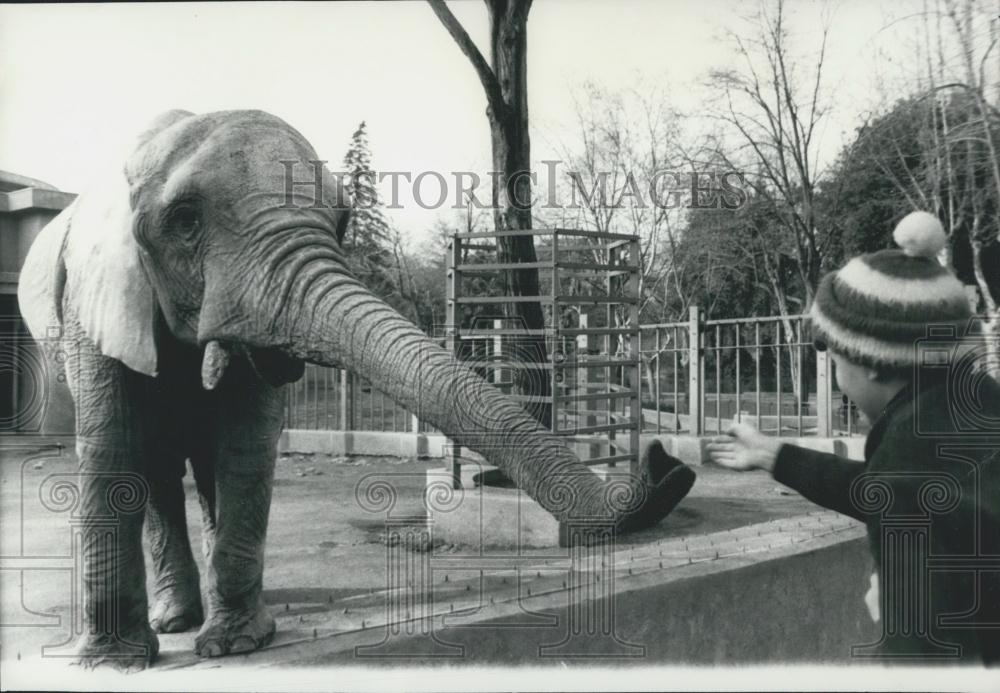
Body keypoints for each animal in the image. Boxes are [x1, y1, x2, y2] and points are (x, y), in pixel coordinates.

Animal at [15, 111, 696, 668]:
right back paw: (176, 621)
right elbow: (112, 449)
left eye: (342, 220)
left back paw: (210, 618)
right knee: (151, 464)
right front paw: (114, 665)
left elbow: (244, 447)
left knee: (196, 465)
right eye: (183, 222)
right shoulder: (93, 299)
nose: (666, 461)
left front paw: (238, 646)